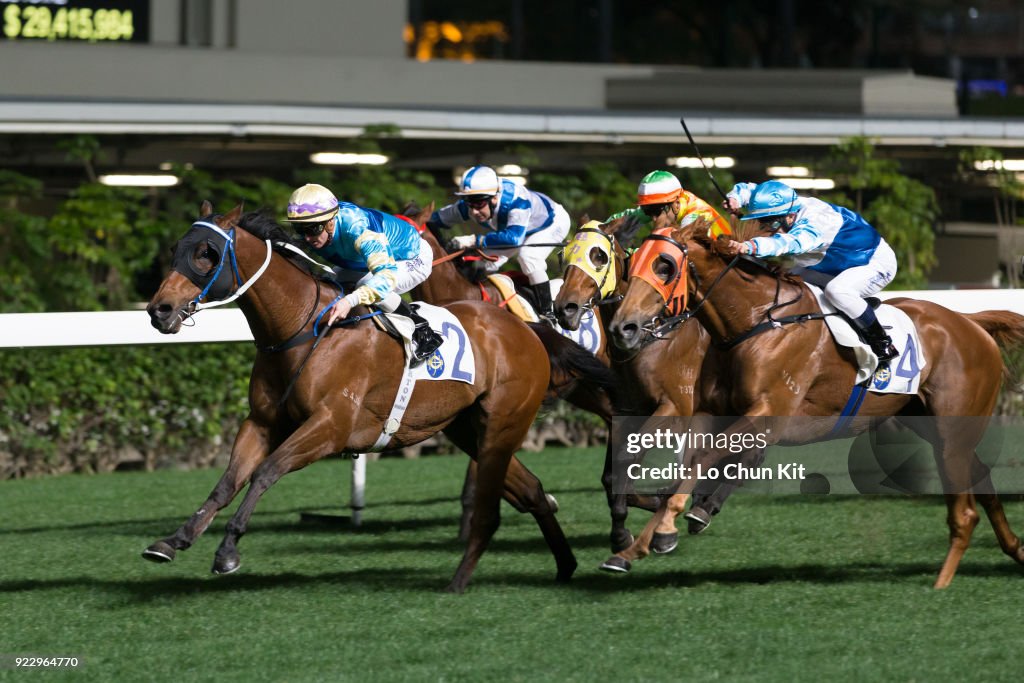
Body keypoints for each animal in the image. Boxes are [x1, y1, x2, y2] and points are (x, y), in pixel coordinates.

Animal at [141, 202, 602, 593]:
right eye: (176, 248)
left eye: (207, 252)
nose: (158, 310)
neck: (302, 329)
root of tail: (526, 330)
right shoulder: (261, 423)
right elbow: (227, 482)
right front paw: (173, 540)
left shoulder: (331, 426)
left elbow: (266, 473)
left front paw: (227, 551)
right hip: (469, 429)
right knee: (532, 491)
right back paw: (565, 565)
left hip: (504, 424)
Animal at [602, 215, 1024, 589]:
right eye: (632, 261)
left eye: (665, 266)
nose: (623, 327)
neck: (755, 322)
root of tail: (972, 323)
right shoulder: (708, 413)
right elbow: (685, 468)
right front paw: (632, 549)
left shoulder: (768, 413)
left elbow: (703, 460)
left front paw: (665, 530)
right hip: (930, 423)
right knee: (982, 480)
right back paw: (1015, 550)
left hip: (952, 432)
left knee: (965, 510)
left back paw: (942, 582)